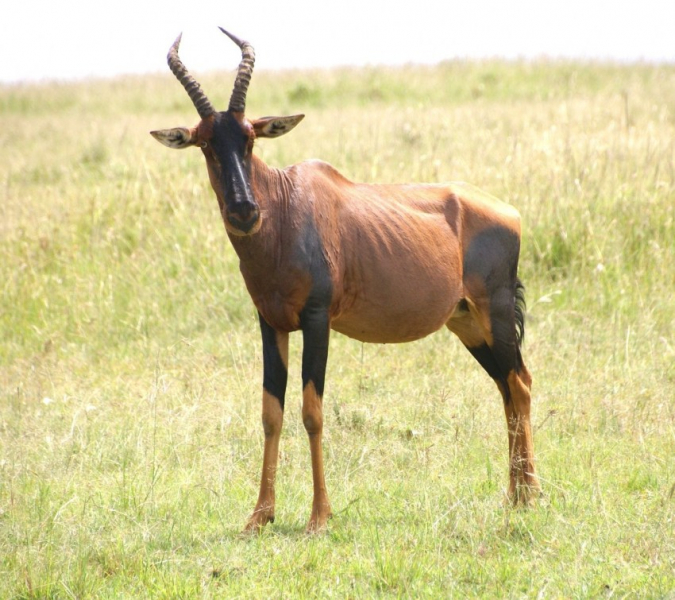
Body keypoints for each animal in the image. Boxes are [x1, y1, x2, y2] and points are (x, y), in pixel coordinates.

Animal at [151, 29, 540, 536]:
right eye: (204, 143)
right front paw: (260, 515)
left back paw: (530, 496)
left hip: (494, 310)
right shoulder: (270, 324)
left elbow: (311, 412)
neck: (286, 206)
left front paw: (319, 516)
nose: (244, 212)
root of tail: (508, 212)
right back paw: (514, 497)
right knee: (505, 387)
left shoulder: (317, 320)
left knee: (520, 384)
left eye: (251, 139)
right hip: (467, 323)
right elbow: (270, 412)